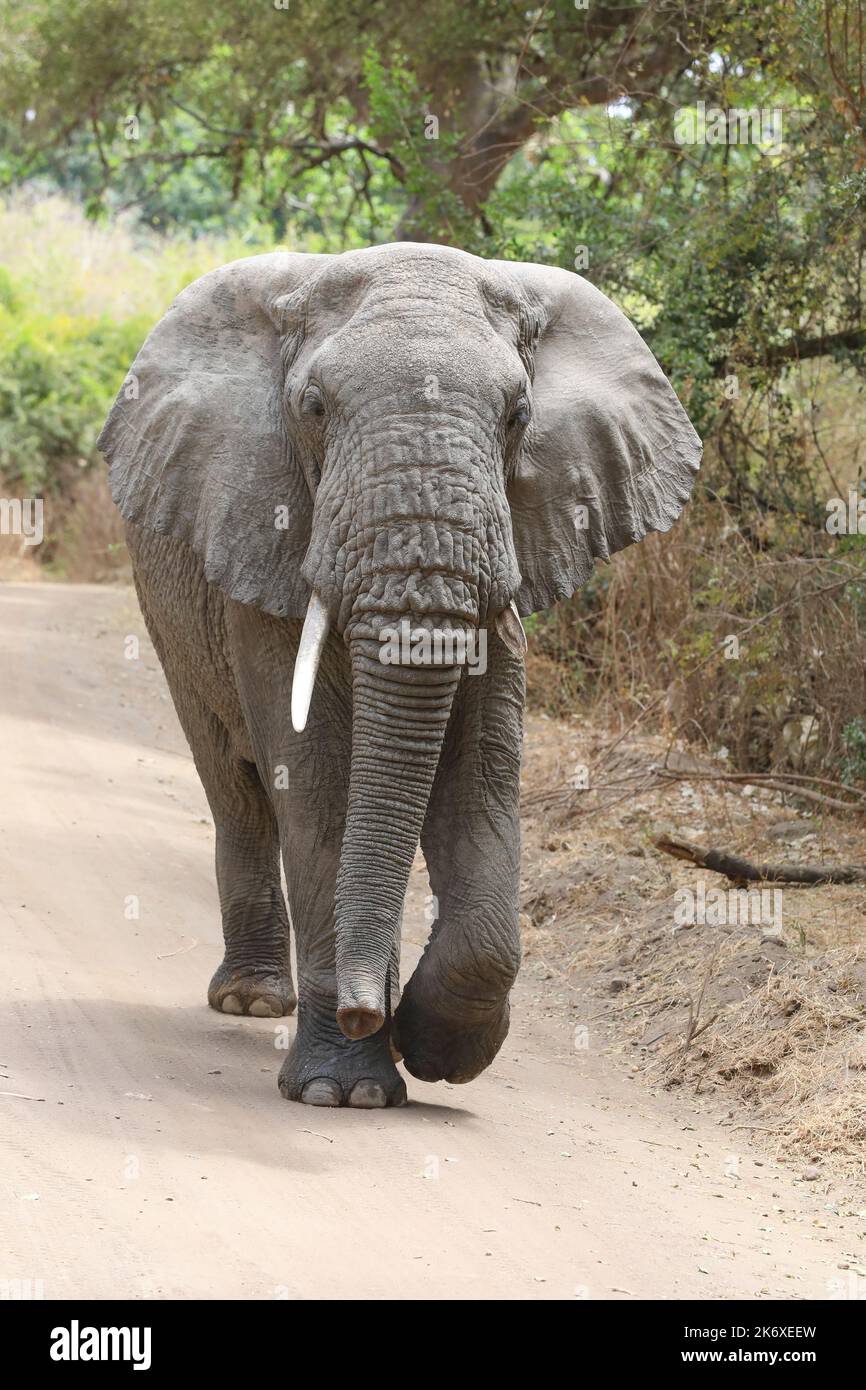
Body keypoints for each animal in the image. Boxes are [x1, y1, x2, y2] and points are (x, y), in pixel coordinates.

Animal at [97, 239, 700, 1106]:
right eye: (313, 407)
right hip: (168, 608)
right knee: (235, 784)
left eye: (519, 417)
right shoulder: (267, 533)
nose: (358, 1011)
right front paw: (342, 1090)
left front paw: (440, 1049)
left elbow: (480, 772)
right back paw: (254, 1002)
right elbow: (315, 776)